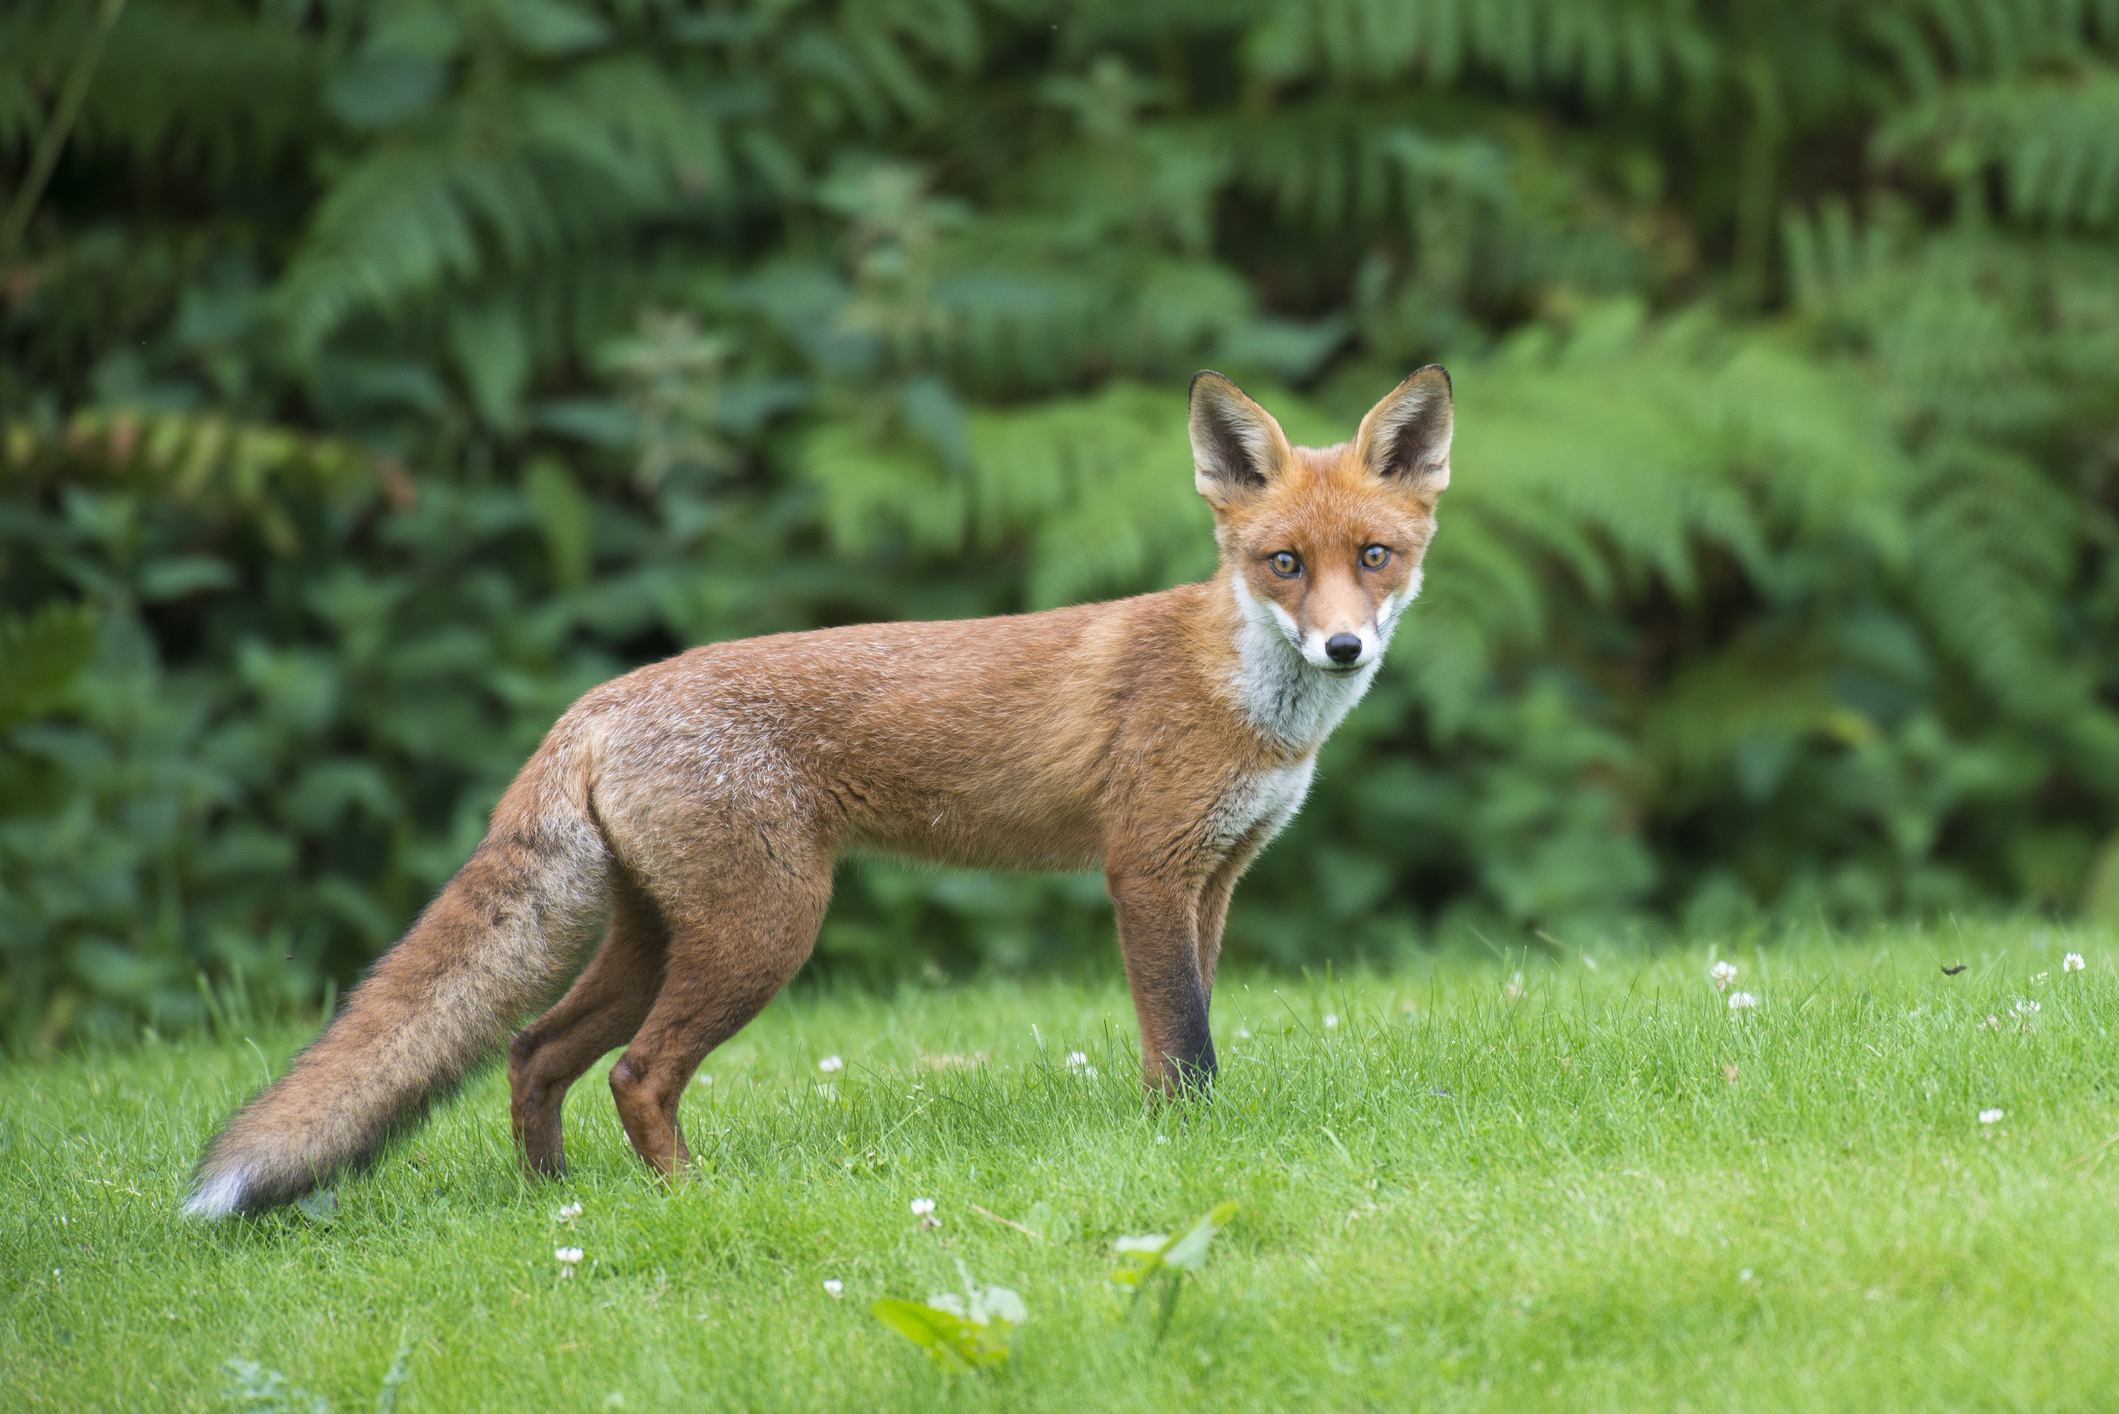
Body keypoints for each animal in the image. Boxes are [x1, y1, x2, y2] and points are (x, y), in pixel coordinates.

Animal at [182, 365, 1454, 1218]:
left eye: (1373, 558)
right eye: (1282, 565)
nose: (1343, 646)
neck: (1246, 699)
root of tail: (596, 702)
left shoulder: (1215, 879)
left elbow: (1185, 1029)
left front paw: (1182, 1140)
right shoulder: (1143, 871)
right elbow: (1181, 1039)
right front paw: (1179, 1152)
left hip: (660, 933)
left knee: (536, 1049)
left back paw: (560, 1202)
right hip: (767, 930)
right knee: (637, 1073)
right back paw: (688, 1199)